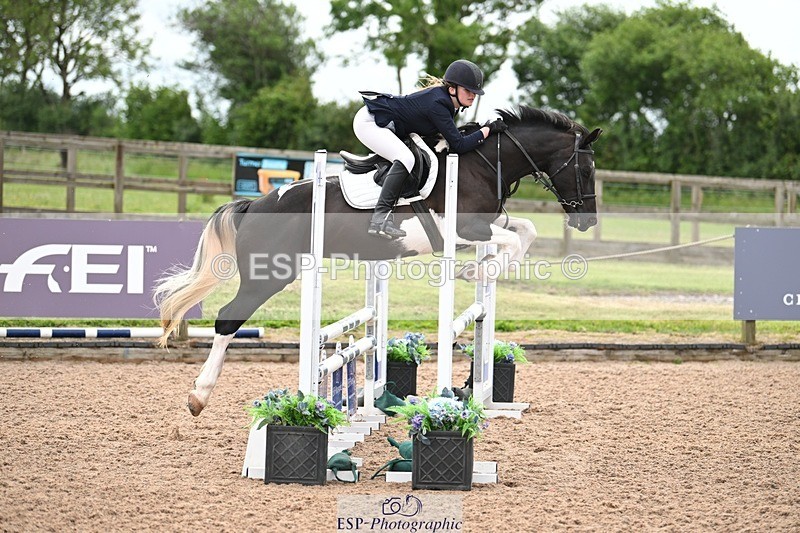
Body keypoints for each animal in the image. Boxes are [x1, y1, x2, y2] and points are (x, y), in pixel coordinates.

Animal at [153, 106, 602, 416]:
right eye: (585, 169)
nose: (588, 221)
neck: (480, 163)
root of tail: (255, 204)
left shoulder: (488, 225)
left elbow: (526, 230)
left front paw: (484, 268)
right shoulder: (463, 230)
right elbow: (514, 238)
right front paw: (476, 267)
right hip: (269, 275)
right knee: (227, 319)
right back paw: (199, 395)